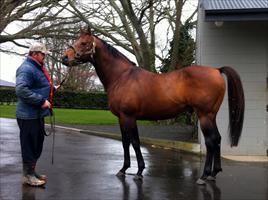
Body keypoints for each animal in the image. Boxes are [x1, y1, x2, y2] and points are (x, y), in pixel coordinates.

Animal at [62, 27, 245, 184]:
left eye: (84, 43)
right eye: (77, 40)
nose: (65, 58)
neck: (121, 77)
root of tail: (216, 70)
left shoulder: (128, 117)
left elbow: (135, 142)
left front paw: (139, 171)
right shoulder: (122, 118)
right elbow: (125, 142)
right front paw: (123, 169)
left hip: (204, 116)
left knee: (211, 141)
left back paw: (204, 176)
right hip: (211, 115)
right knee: (218, 139)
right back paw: (214, 173)